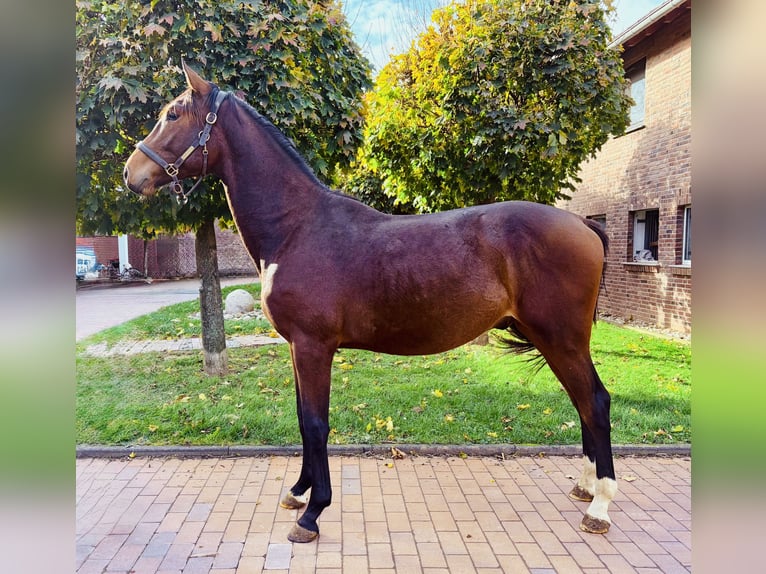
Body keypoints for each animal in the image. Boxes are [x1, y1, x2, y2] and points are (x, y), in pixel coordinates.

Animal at [124, 62, 617, 543]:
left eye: (172, 114)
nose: (131, 174)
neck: (295, 227)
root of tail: (582, 224)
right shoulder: (296, 348)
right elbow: (302, 420)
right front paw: (298, 492)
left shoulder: (313, 346)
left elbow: (316, 424)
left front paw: (312, 514)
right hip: (554, 340)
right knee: (582, 403)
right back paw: (584, 486)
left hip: (562, 340)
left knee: (595, 402)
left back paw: (599, 507)